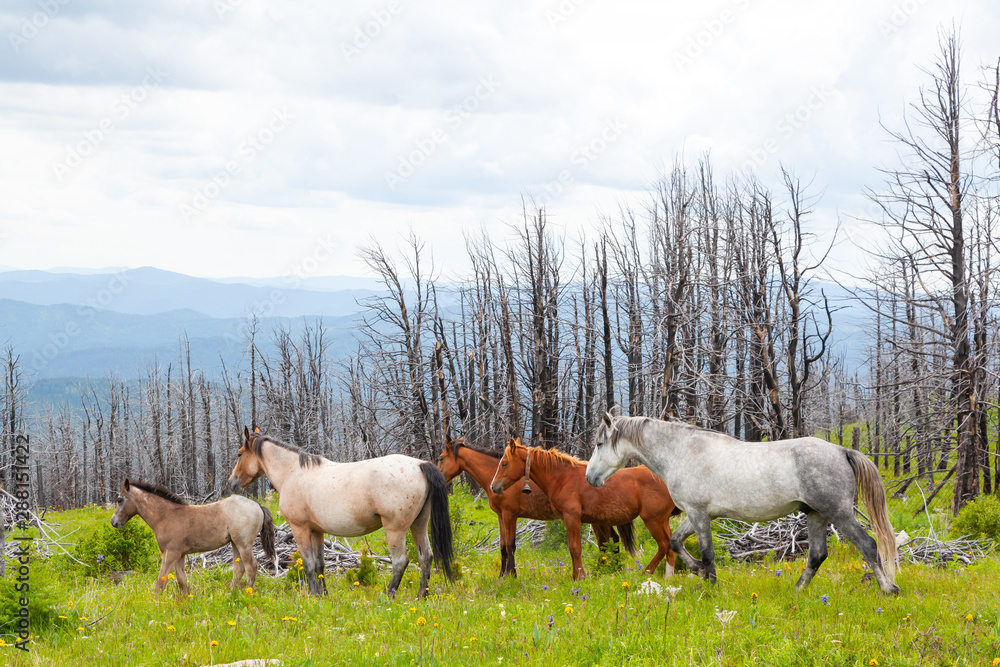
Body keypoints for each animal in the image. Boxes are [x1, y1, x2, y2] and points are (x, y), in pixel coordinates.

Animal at [110, 478, 277, 595]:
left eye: (119, 499)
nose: (113, 522)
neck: (166, 516)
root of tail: (257, 505)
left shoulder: (170, 553)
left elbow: (160, 581)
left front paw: (156, 603)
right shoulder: (179, 554)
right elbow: (181, 580)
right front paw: (187, 600)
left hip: (244, 544)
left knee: (251, 567)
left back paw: (248, 594)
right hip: (235, 543)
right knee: (239, 569)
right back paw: (231, 593)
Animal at [228, 427, 454, 598]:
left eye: (239, 454)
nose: (232, 483)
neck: (293, 472)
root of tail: (420, 464)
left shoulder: (300, 529)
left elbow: (309, 564)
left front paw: (314, 596)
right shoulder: (317, 531)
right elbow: (320, 565)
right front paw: (323, 595)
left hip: (395, 530)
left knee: (400, 561)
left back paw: (387, 596)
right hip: (419, 524)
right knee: (426, 557)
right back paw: (421, 596)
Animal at [436, 436, 635, 576]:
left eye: (440, 458)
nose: (436, 475)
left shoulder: (510, 515)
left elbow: (510, 546)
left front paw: (511, 576)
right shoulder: (500, 517)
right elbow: (502, 547)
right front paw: (502, 575)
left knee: (609, 541)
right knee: (608, 541)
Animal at [490, 438, 679, 580]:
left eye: (504, 463)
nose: (494, 486)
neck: (563, 477)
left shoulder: (572, 518)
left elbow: (575, 548)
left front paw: (579, 576)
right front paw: (577, 575)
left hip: (652, 520)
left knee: (664, 545)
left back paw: (648, 572)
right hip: (662, 521)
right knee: (670, 546)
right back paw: (667, 576)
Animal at [585, 414, 900, 595]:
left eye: (599, 444)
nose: (590, 478)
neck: (683, 452)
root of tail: (840, 450)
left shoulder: (698, 514)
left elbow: (707, 553)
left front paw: (711, 587)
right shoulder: (699, 514)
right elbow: (676, 542)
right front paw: (699, 572)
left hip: (838, 513)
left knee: (868, 545)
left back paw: (889, 589)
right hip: (815, 515)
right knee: (817, 555)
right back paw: (797, 590)